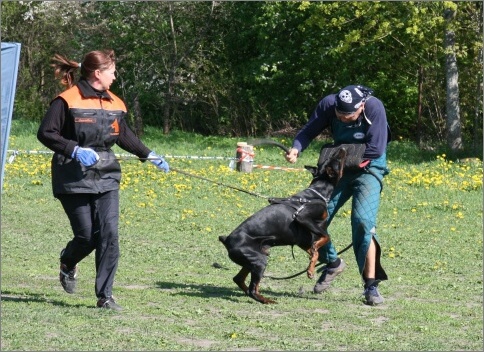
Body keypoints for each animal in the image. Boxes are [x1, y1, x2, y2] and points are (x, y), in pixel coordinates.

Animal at [217, 148, 346, 302]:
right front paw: (310, 269)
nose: (342, 149)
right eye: (337, 159)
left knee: (238, 279)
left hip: (253, 259)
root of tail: (227, 240)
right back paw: (266, 300)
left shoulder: (302, 238)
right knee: (252, 289)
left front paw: (311, 264)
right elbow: (326, 237)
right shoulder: (302, 217)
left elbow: (314, 250)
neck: (318, 193)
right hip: (259, 260)